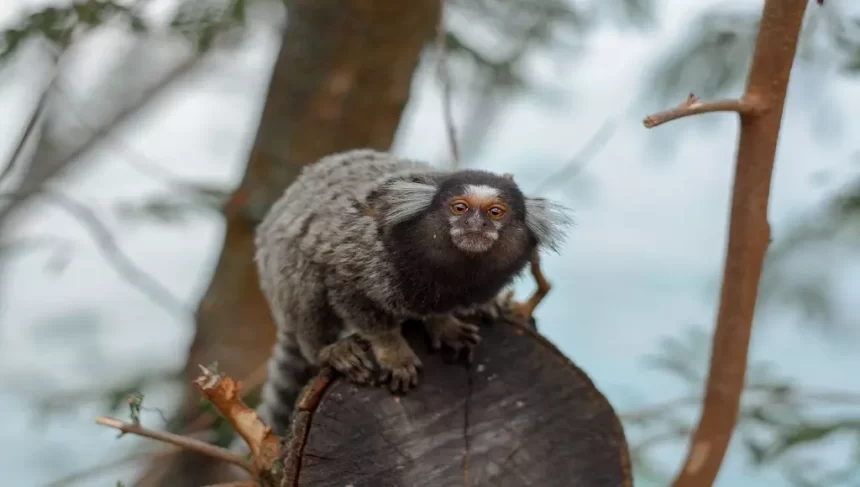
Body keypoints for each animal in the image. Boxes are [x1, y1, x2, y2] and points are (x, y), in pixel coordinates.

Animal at [252, 150, 568, 434]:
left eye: (495, 212)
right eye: (460, 208)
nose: (476, 225)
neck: (456, 272)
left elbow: (441, 311)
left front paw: (444, 324)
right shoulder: (361, 257)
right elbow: (355, 299)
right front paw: (393, 351)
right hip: (282, 275)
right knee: (305, 284)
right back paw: (328, 349)